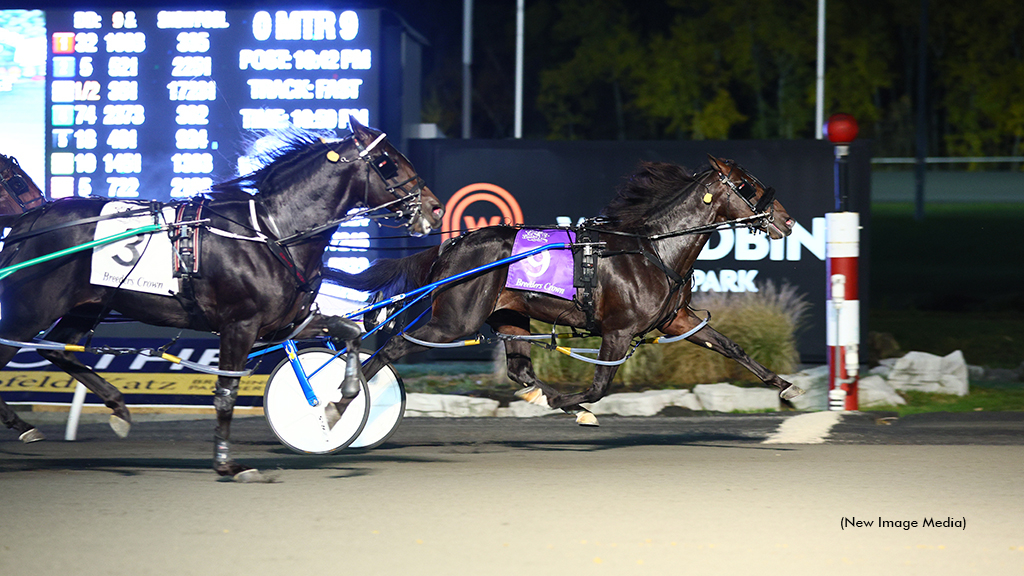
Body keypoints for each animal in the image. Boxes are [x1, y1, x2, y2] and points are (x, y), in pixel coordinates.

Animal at [0, 115, 442, 475]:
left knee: (61, 349)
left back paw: (118, 407)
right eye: (387, 162)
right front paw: (228, 463)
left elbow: (349, 335)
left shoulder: (288, 322)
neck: (271, 232)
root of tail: (30, 219)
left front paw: (337, 402)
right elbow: (226, 393)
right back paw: (24, 424)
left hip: (87, 306)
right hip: (29, 309)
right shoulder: (239, 325)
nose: (436, 208)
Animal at [323, 154, 802, 424]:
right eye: (746, 186)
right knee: (391, 344)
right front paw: (576, 405)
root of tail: (452, 244)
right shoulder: (618, 331)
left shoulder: (675, 319)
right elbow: (599, 386)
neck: (652, 248)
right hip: (454, 320)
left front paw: (784, 386)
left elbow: (730, 346)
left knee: (519, 368)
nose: (787, 219)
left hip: (508, 315)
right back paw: (339, 403)